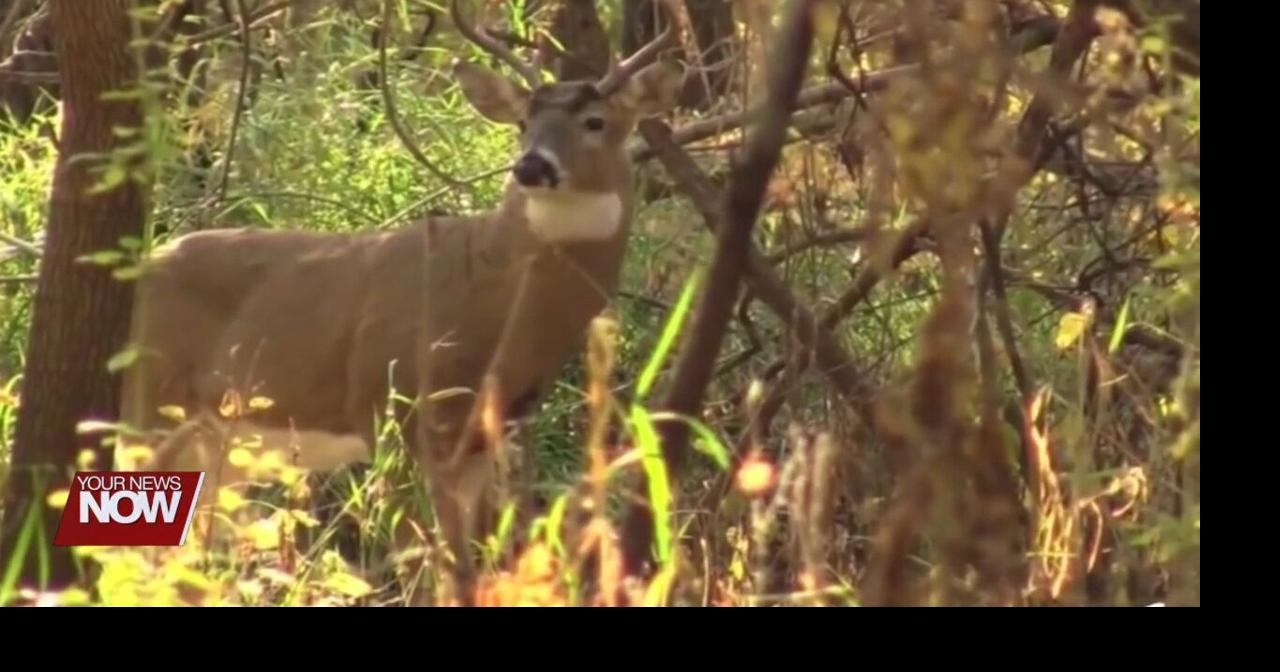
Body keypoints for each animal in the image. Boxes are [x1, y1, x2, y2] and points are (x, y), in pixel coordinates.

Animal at [118, 0, 684, 604]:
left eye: (596, 122)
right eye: (522, 124)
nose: (532, 166)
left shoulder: (479, 443)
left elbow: (463, 571)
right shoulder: (389, 408)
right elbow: (423, 563)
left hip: (223, 446)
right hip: (149, 406)